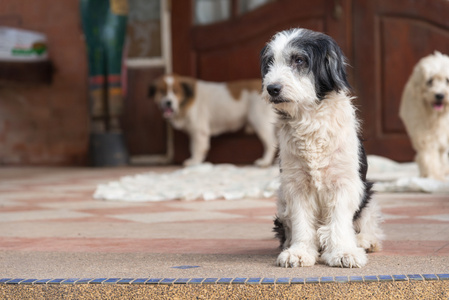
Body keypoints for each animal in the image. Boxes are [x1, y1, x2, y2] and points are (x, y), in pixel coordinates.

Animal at [260, 28, 384, 268]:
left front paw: (344, 252)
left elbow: (340, 220)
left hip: (367, 194)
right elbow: (301, 222)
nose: (272, 88)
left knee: (368, 222)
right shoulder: (296, 185)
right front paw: (299, 252)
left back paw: (364, 241)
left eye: (299, 60)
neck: (310, 121)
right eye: (270, 62)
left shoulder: (344, 182)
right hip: (282, 202)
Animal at [400, 51, 448, 180]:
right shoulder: (424, 134)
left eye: (447, 80)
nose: (439, 95)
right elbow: (429, 156)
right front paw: (434, 176)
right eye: (430, 81)